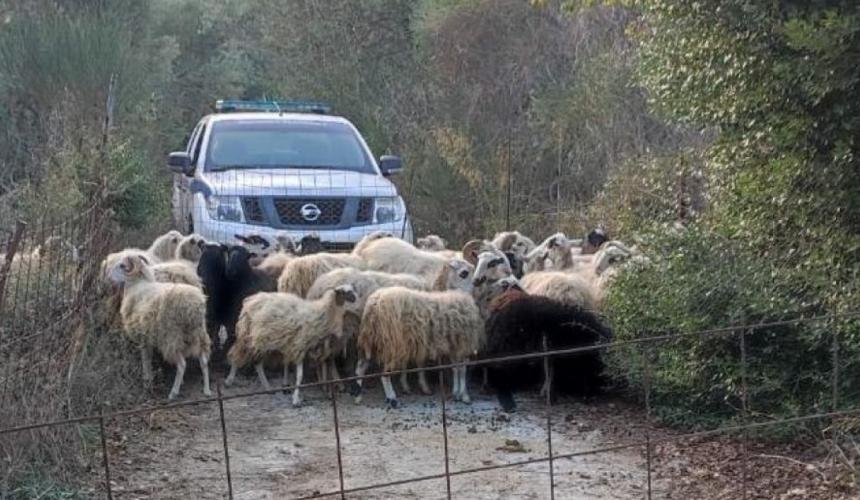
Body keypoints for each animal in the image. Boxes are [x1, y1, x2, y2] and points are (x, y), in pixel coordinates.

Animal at [108, 254, 211, 400]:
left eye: (122, 265)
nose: (109, 277)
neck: (136, 285)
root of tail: (193, 306)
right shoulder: (147, 338)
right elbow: (148, 357)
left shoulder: (143, 337)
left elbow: (146, 359)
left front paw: (147, 381)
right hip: (199, 333)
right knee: (204, 361)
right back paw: (207, 390)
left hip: (171, 338)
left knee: (182, 365)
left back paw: (173, 392)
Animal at [225, 285, 359, 406]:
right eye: (347, 293)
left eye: (353, 290)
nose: (358, 302)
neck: (325, 312)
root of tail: (251, 300)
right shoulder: (299, 347)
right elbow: (299, 376)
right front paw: (295, 399)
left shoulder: (310, 349)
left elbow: (316, 370)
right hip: (249, 336)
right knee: (237, 355)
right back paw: (229, 380)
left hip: (263, 341)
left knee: (257, 363)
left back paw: (268, 388)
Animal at [353, 285, 484, 408]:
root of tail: (374, 303)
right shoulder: (463, 345)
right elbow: (461, 370)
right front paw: (464, 395)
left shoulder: (455, 347)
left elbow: (455, 369)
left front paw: (457, 393)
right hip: (391, 344)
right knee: (384, 375)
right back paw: (392, 399)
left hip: (371, 341)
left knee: (360, 368)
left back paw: (358, 396)